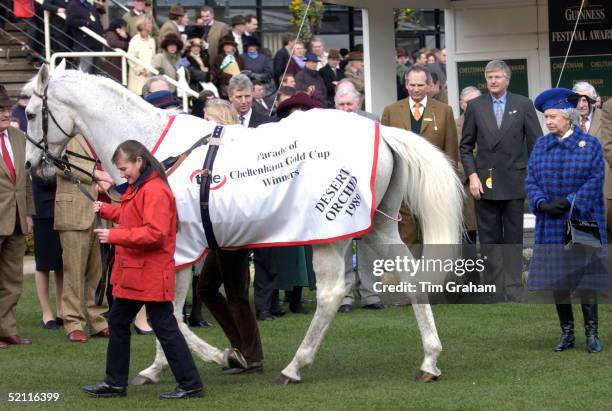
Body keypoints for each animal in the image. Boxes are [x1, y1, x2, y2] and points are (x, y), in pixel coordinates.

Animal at [23, 63, 464, 386]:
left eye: (28, 113)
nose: (31, 165)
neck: (157, 154)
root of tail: (381, 131)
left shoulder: (178, 250)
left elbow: (170, 313)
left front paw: (221, 355)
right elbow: (169, 311)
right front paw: (159, 367)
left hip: (331, 233)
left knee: (331, 294)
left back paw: (294, 367)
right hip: (376, 228)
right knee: (409, 277)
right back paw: (430, 360)